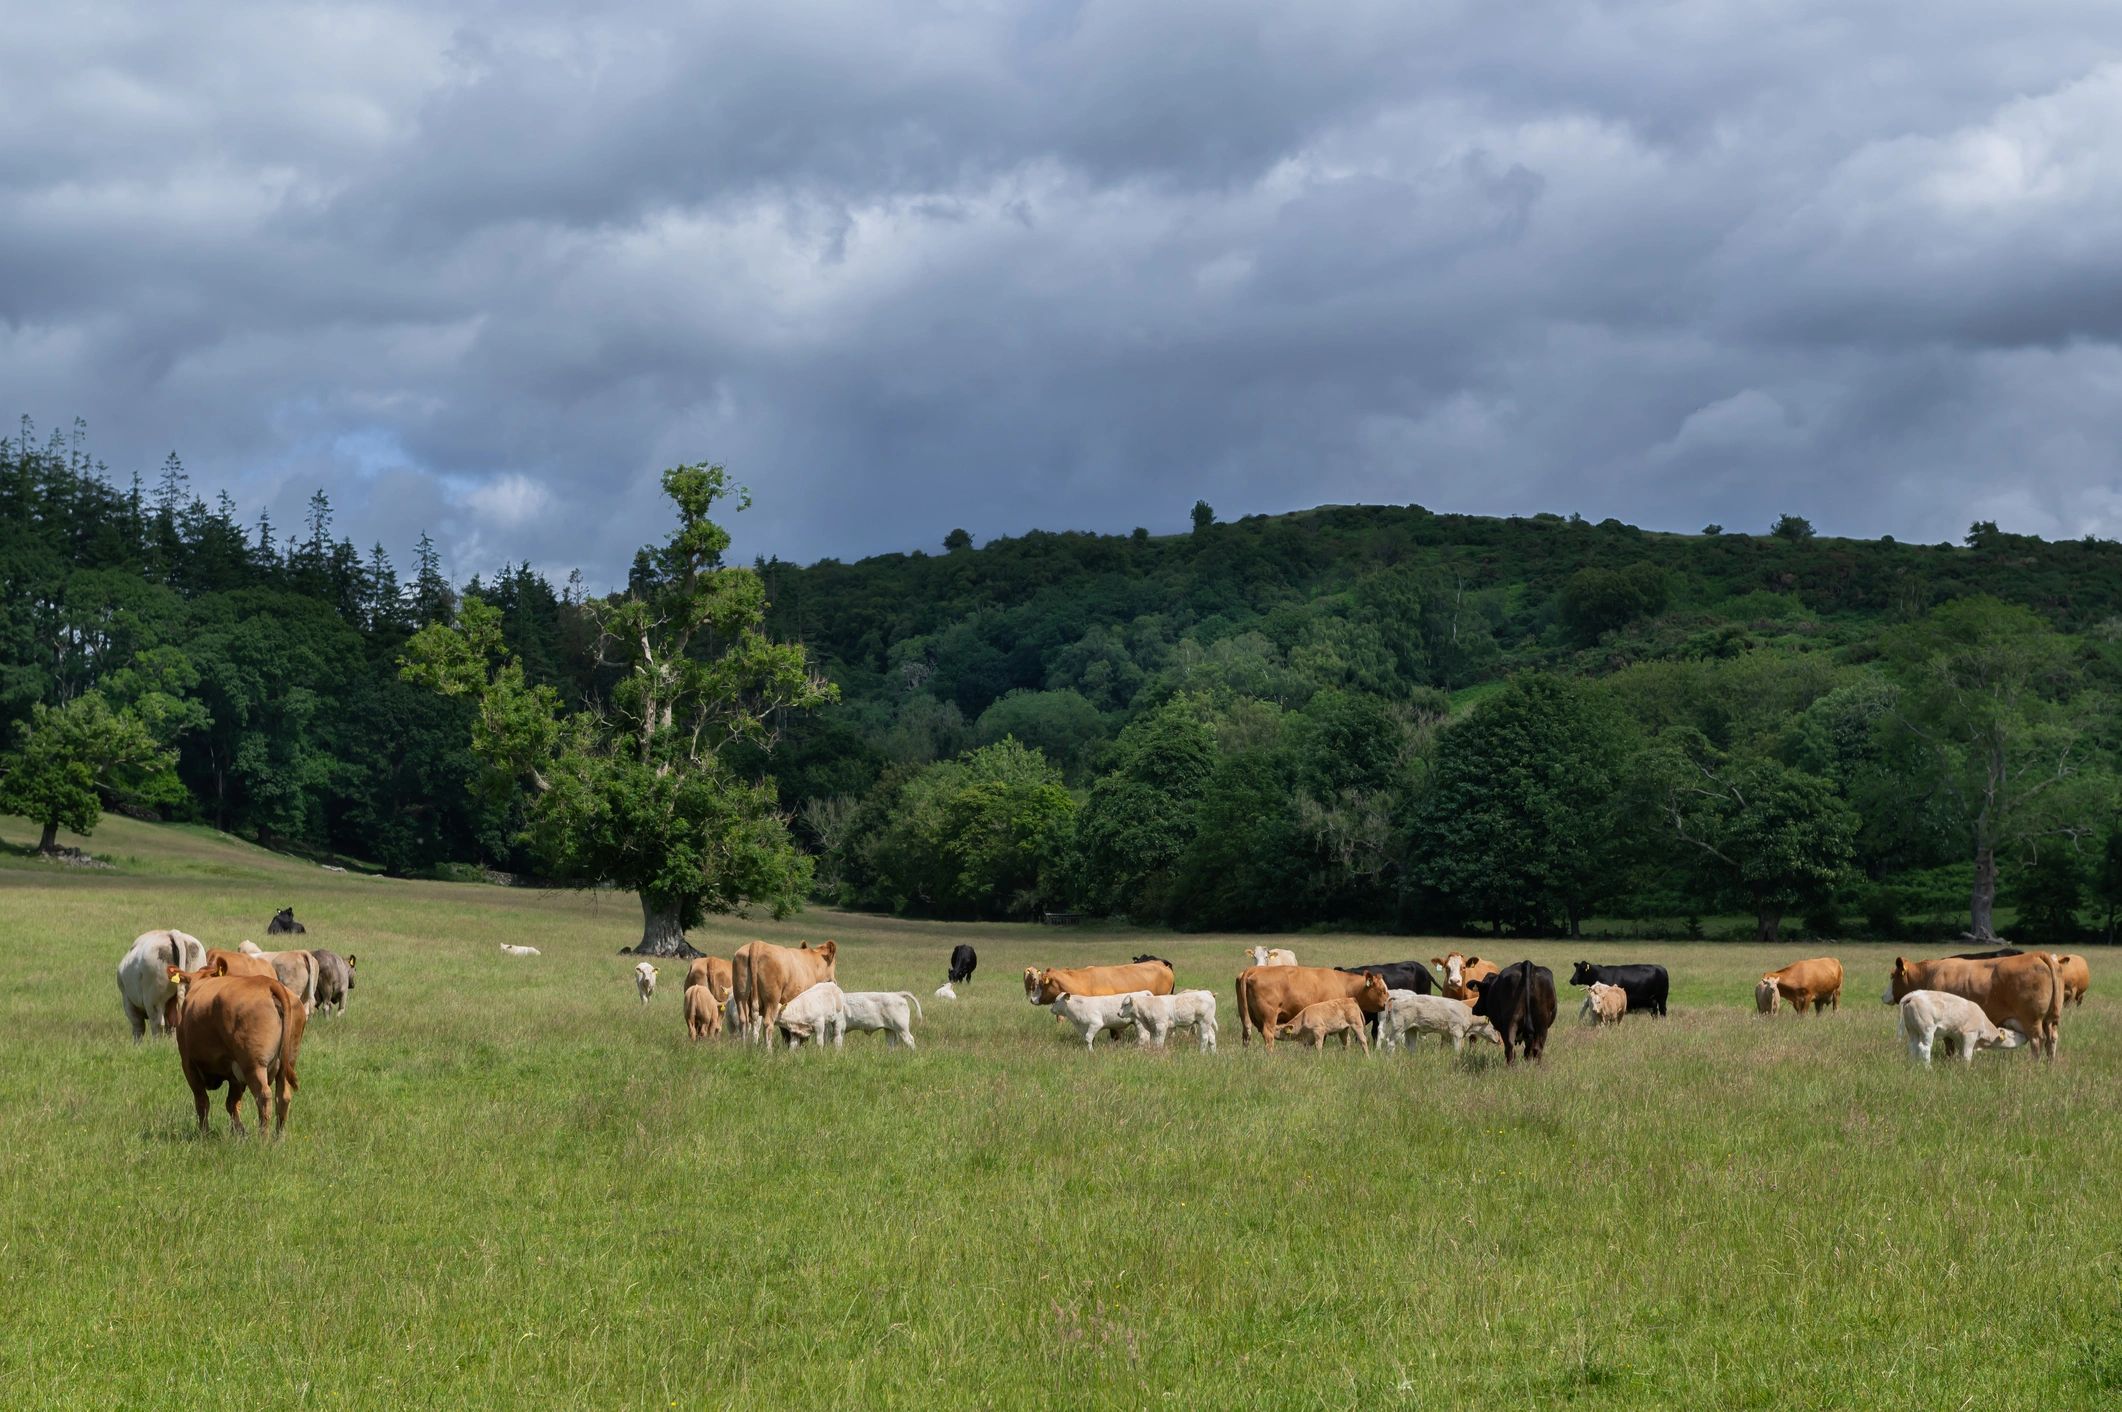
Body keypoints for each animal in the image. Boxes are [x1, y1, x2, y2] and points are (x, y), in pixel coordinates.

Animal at [166, 965, 307, 1137]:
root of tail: (268, 983)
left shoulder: (188, 1064)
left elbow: (202, 1101)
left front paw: (204, 1134)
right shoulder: (234, 1073)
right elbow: (232, 1104)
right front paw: (240, 1132)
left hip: (253, 1064)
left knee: (263, 1096)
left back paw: (263, 1138)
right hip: (287, 1064)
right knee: (283, 1097)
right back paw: (278, 1138)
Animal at [1234, 967, 1390, 1050]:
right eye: (1382, 990)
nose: (1388, 1003)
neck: (1344, 984)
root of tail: (1253, 969)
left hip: (1246, 1015)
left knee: (1246, 1035)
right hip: (1269, 1017)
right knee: (1268, 1035)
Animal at [1897, 990, 2030, 1066]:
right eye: (2013, 1033)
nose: (2026, 1036)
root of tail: (1914, 995)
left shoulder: (1959, 1038)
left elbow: (1962, 1054)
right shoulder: (1970, 1034)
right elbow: (1967, 1055)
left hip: (1912, 1029)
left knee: (1913, 1046)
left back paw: (1913, 1064)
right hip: (1927, 1029)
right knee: (1924, 1047)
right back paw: (1928, 1067)